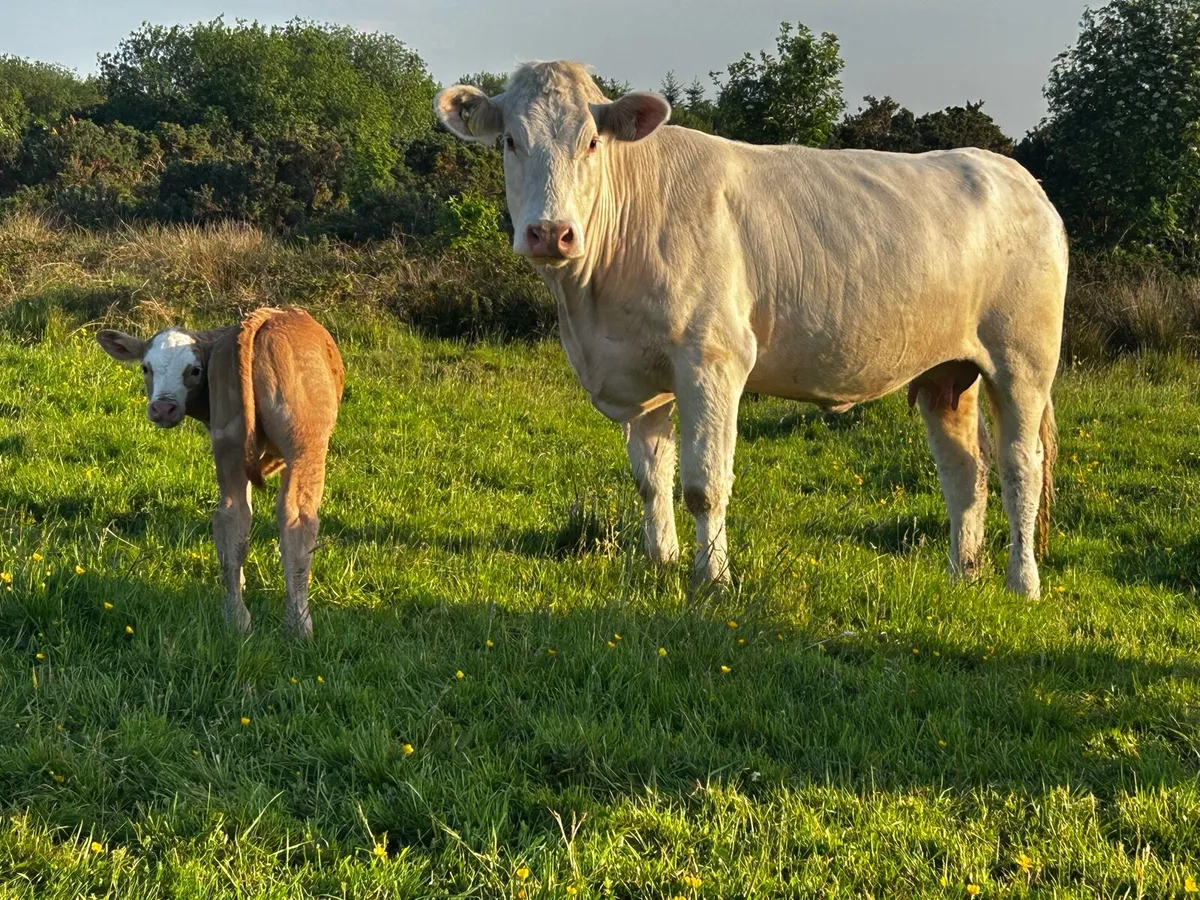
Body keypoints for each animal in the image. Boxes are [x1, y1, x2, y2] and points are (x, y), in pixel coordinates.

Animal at [97, 307, 344, 636]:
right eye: (145, 368)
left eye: (195, 370)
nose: (162, 409)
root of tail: (260, 322)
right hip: (305, 445)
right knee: (297, 521)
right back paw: (298, 626)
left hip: (230, 440)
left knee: (232, 515)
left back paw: (236, 619)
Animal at [435, 61, 1067, 597]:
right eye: (511, 141)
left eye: (592, 142)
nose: (551, 232)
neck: (589, 308)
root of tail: (1015, 175)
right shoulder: (640, 375)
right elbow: (651, 479)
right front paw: (661, 560)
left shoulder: (712, 358)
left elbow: (703, 482)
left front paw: (712, 578)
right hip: (946, 371)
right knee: (965, 471)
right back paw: (964, 574)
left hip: (1023, 360)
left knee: (1020, 467)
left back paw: (1022, 583)